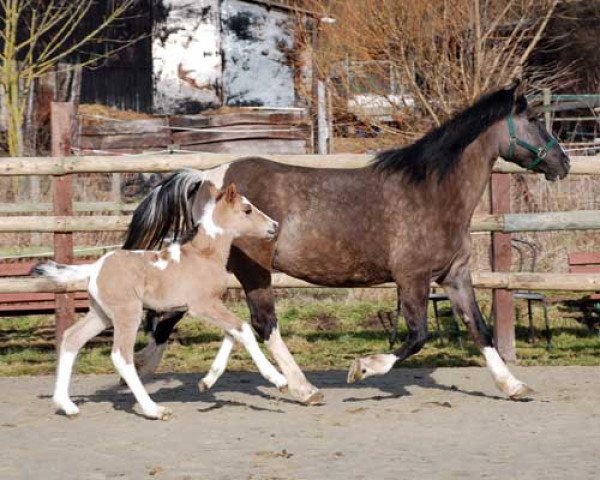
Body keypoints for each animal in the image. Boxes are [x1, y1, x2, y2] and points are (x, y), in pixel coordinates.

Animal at [35, 184, 288, 420]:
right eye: (247, 209)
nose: (274, 226)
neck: (204, 255)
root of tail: (95, 267)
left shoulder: (212, 306)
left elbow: (233, 333)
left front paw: (207, 381)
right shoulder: (202, 306)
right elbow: (243, 329)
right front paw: (279, 380)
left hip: (101, 315)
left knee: (72, 338)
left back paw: (66, 405)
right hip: (127, 313)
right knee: (121, 356)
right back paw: (154, 410)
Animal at [123, 83, 568, 404]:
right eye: (535, 120)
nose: (562, 163)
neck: (433, 193)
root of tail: (209, 176)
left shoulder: (454, 275)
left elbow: (481, 329)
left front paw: (514, 386)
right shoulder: (412, 278)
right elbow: (417, 336)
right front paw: (363, 368)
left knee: (207, 318)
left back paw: (162, 369)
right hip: (254, 270)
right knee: (263, 324)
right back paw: (303, 389)